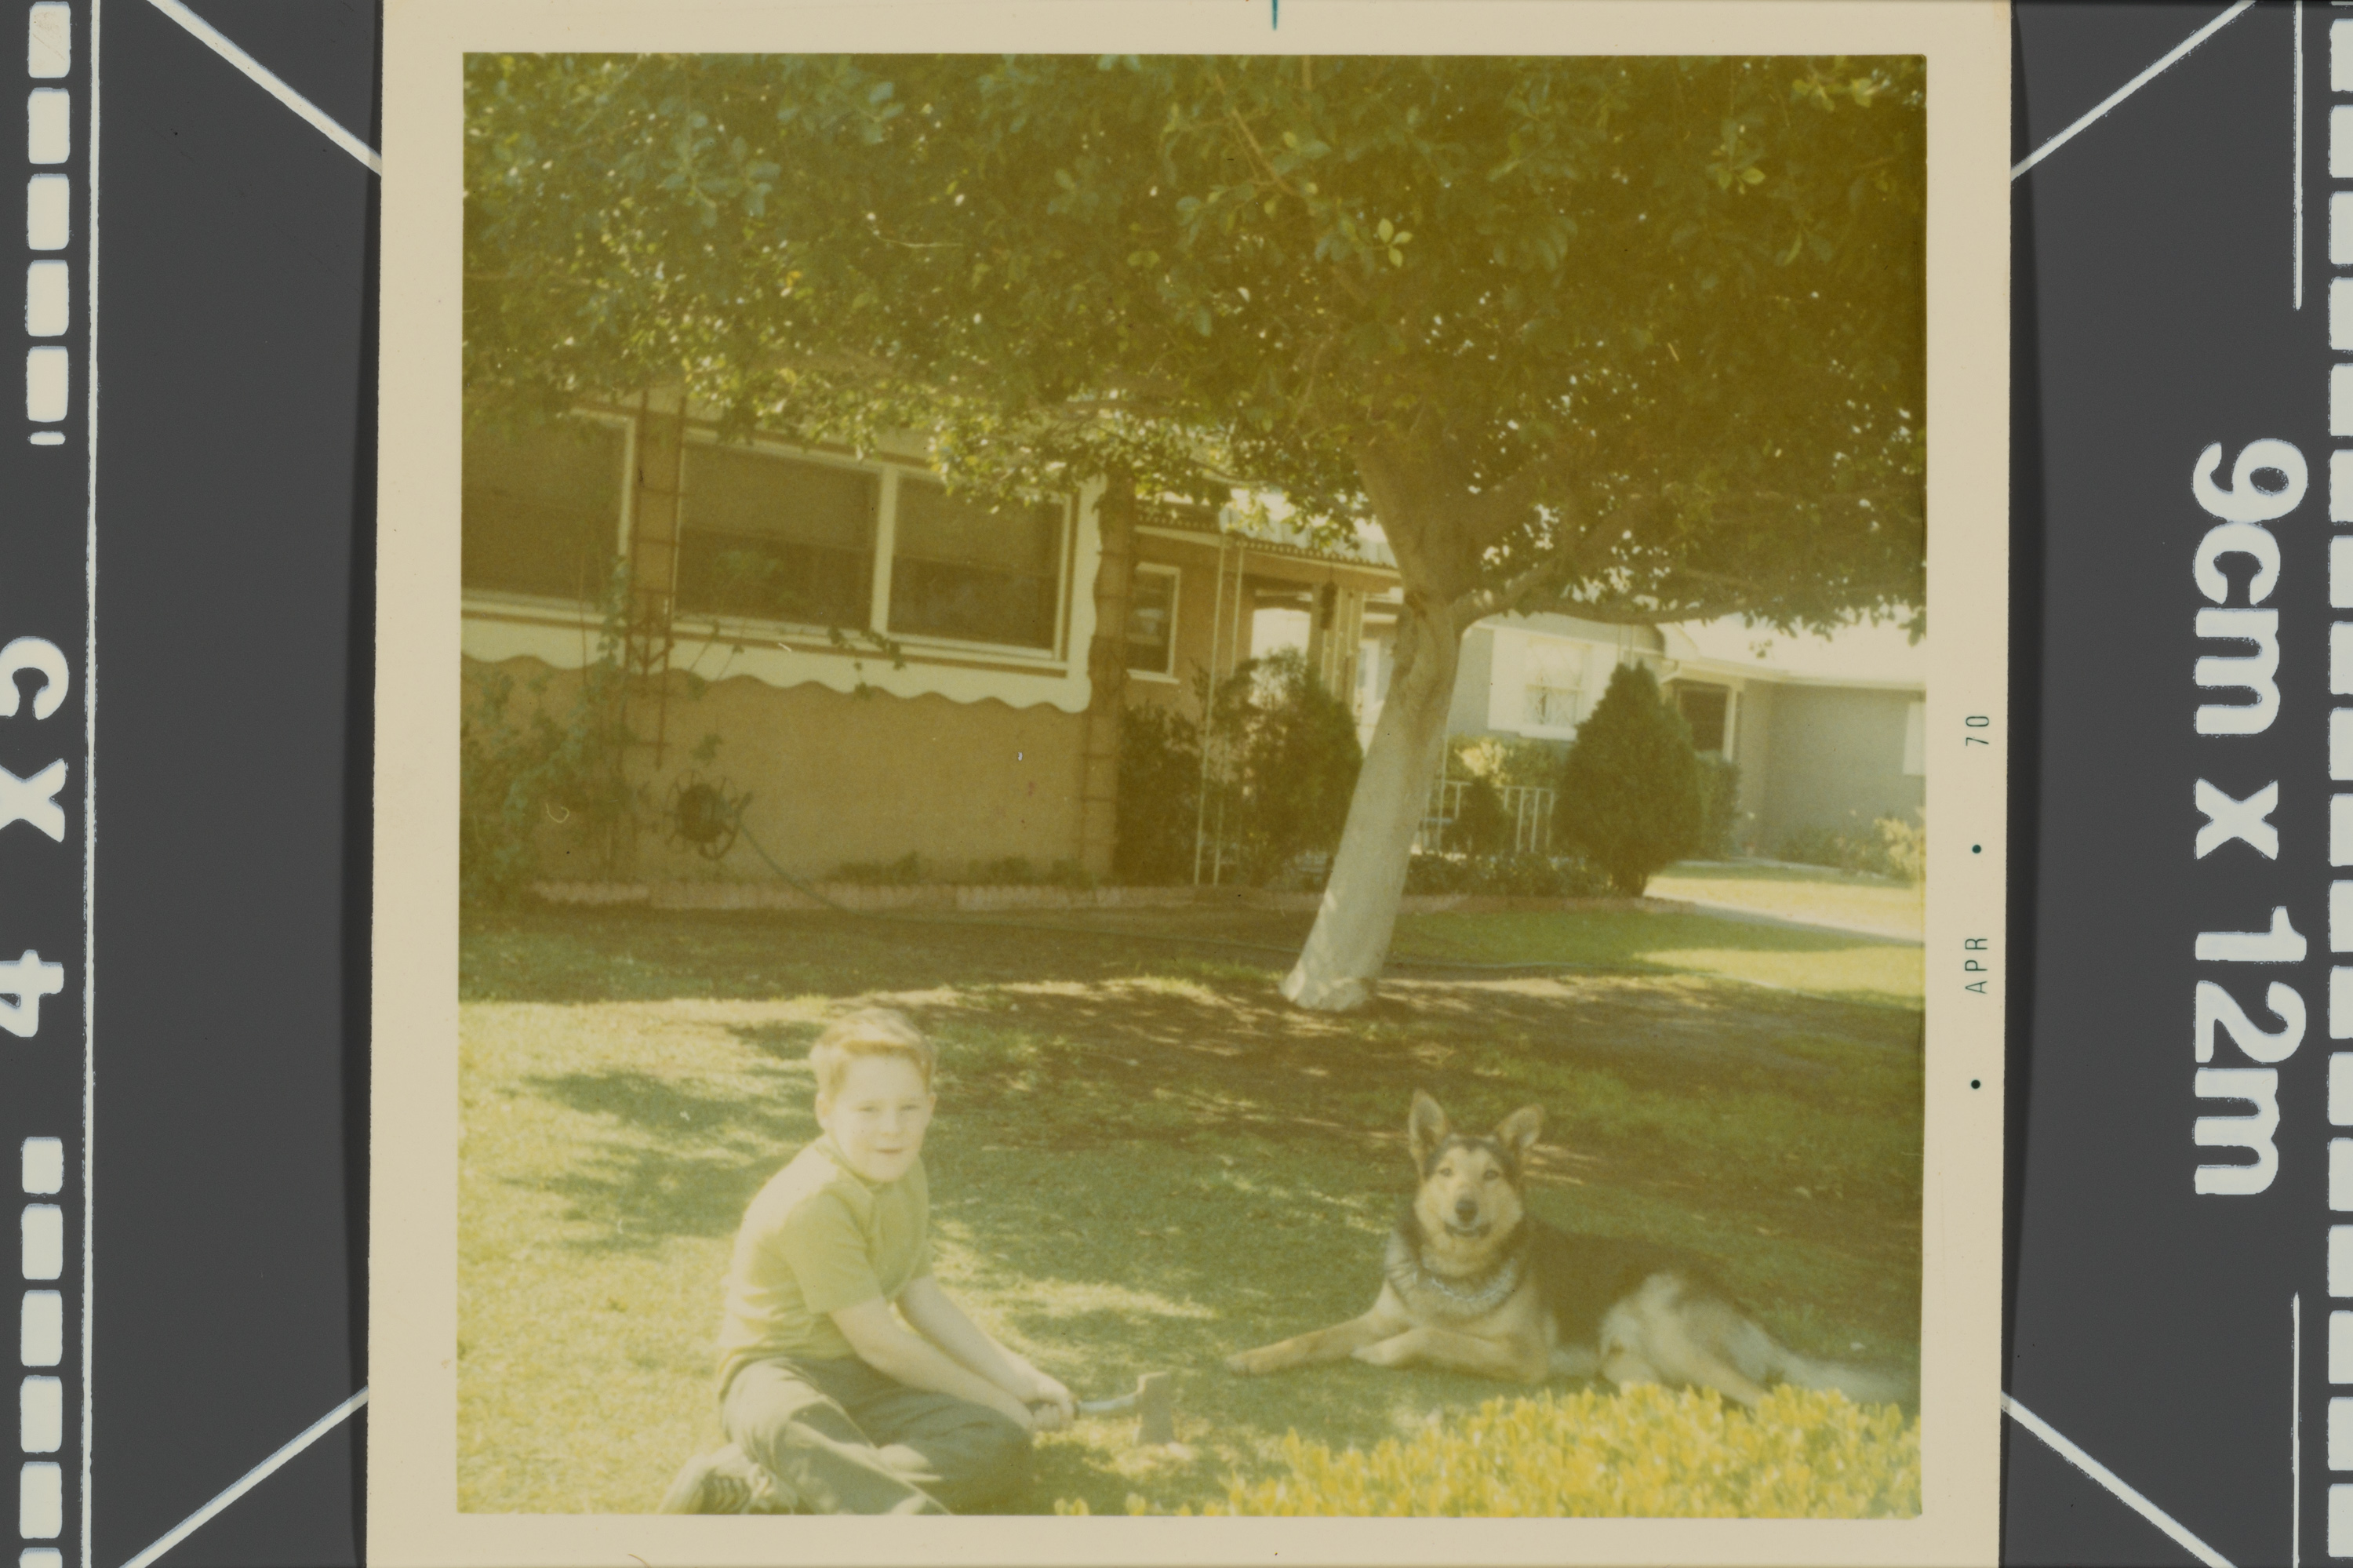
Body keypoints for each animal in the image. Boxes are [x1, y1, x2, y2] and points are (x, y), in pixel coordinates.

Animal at [1224, 1091, 1912, 1409]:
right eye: (1446, 1173)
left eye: (1491, 1175)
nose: (1465, 1207)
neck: (1454, 1274)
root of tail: (1744, 1308)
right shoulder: (1376, 1314)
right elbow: (1309, 1339)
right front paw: (1254, 1356)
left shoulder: (1522, 1358)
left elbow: (1431, 1335)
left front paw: (1385, 1354)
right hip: (1628, 1369)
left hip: (1677, 1337)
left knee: (1770, 1399)